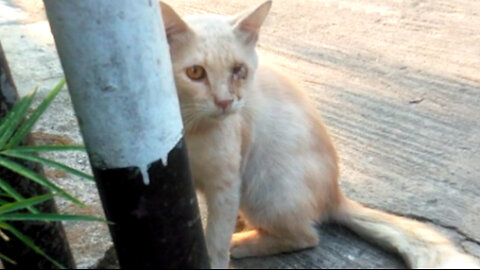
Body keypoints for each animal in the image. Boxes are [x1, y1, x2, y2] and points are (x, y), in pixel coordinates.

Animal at [159, 1, 480, 268]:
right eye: (196, 73)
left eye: (239, 70)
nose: (226, 102)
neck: (191, 127)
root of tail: (335, 194)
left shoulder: (226, 185)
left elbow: (216, 240)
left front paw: (218, 253)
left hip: (264, 188)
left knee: (306, 236)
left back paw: (243, 241)